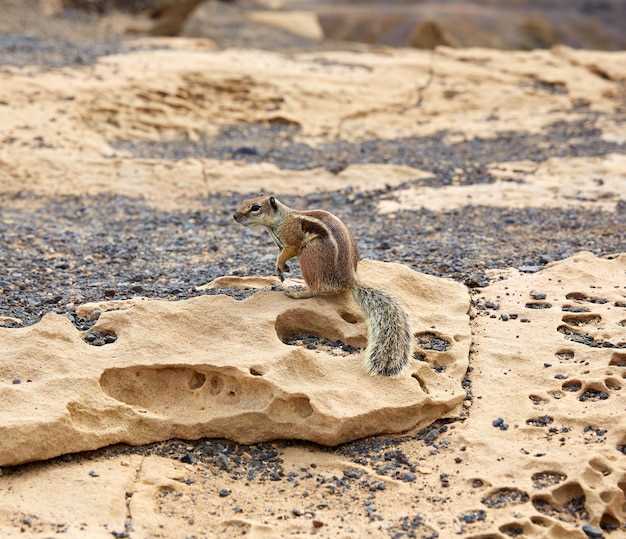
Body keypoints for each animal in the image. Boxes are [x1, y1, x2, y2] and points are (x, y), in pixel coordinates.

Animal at [233, 196, 410, 378]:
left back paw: (297, 292)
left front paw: (280, 265)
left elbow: (287, 252)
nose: (234, 216)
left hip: (309, 254)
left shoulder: (292, 240)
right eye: (245, 201)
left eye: (255, 207)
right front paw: (283, 270)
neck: (280, 219)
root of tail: (349, 279)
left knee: (316, 288)